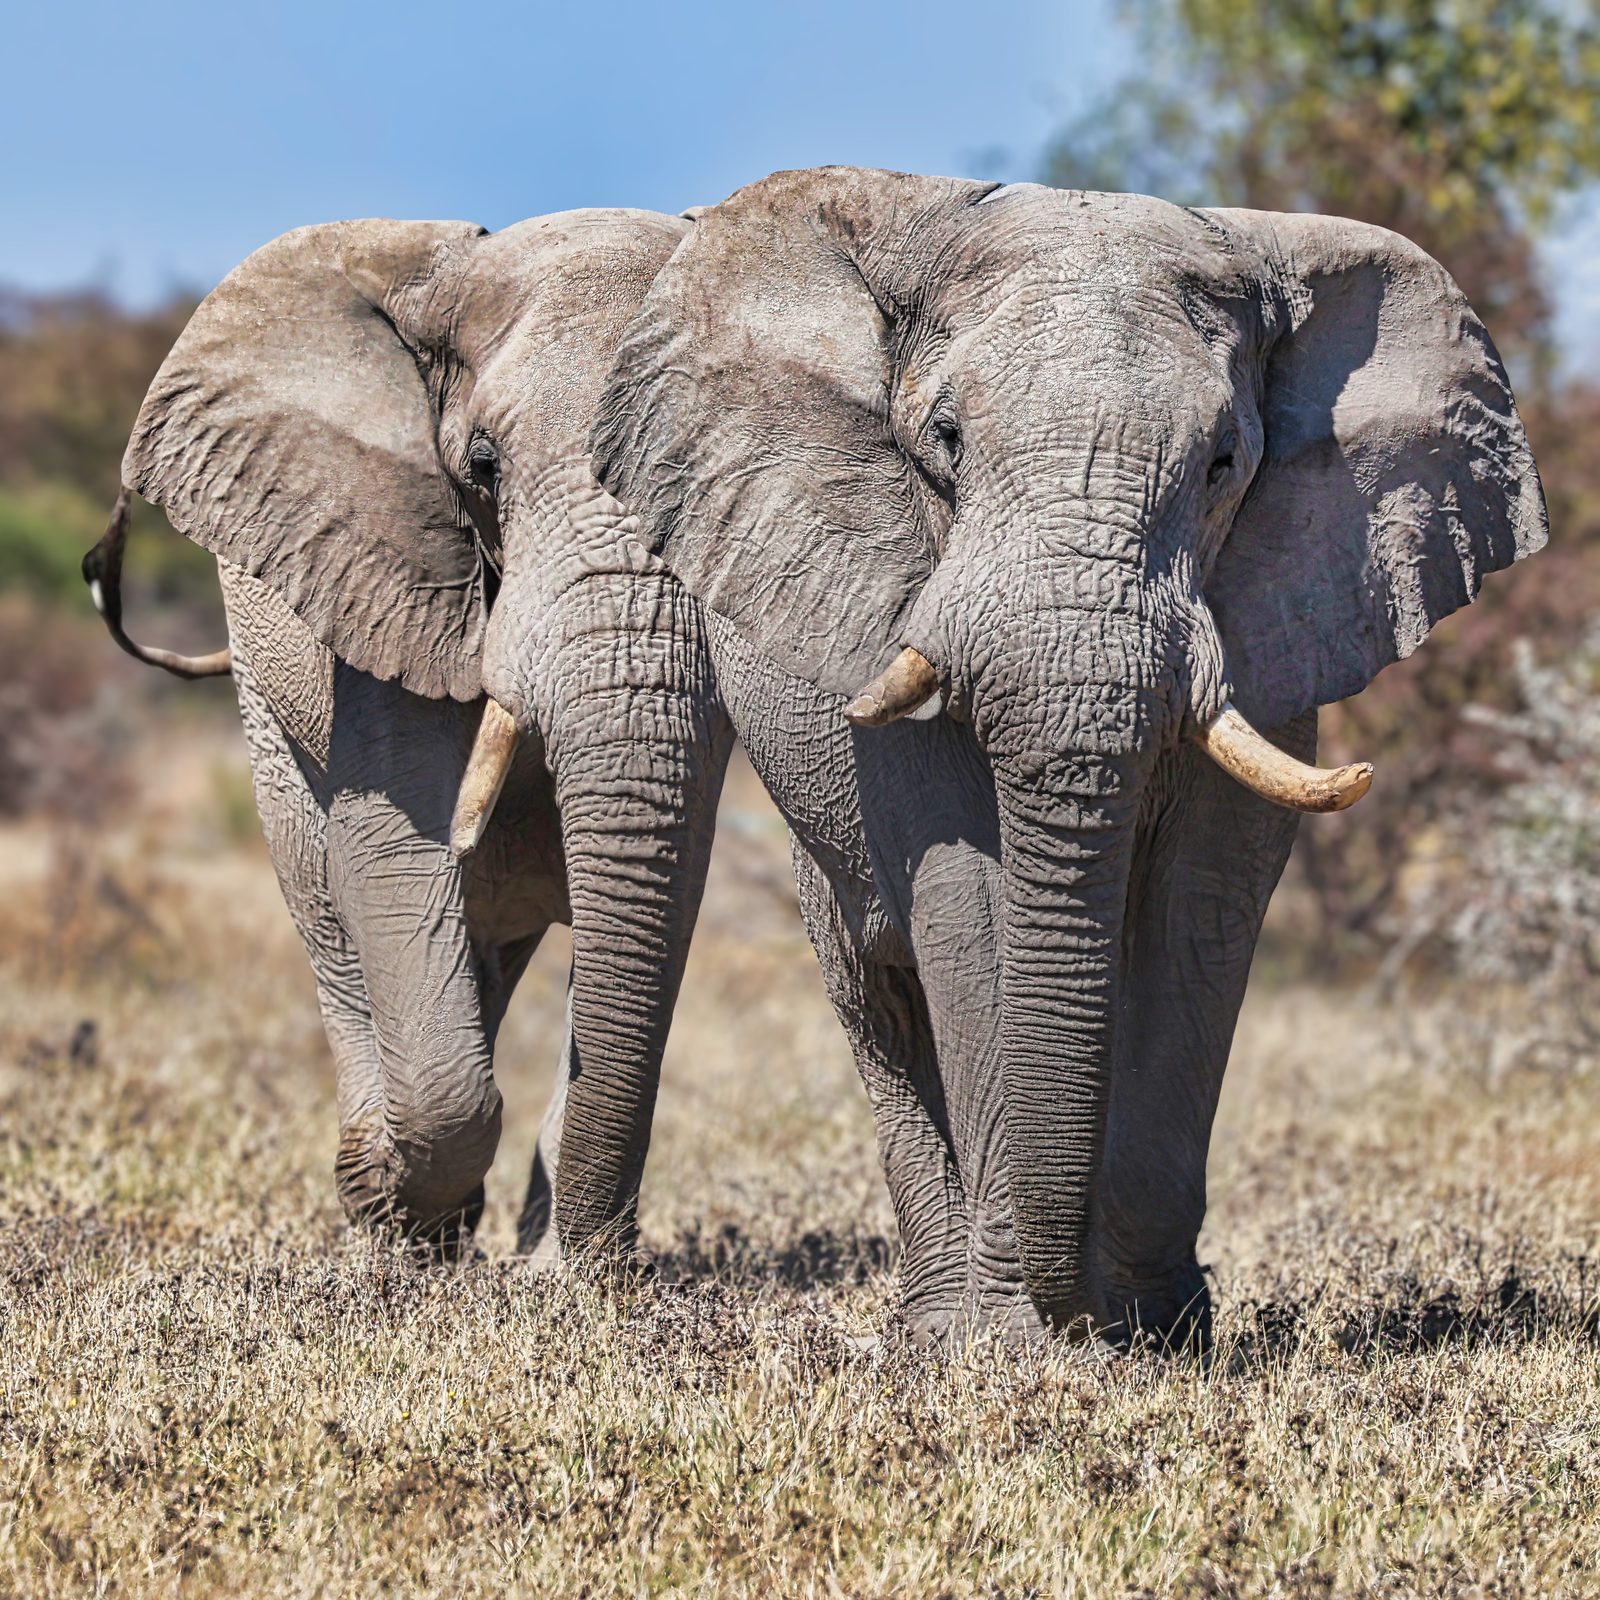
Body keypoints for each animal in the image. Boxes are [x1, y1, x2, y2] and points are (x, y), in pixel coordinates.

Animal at [83, 208, 734, 1255]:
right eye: (483, 467)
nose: (584, 1260)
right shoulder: (383, 568)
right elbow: (394, 852)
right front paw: (395, 1206)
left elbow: (669, 880)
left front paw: (556, 1268)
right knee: (327, 903)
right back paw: (384, 1201)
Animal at [569, 166, 1548, 1347]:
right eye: (944, 441)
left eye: (1224, 465)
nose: (1074, 1311)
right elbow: (968, 900)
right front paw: (1008, 1343)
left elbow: (1199, 909)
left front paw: (1158, 1333)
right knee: (876, 992)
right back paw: (932, 1328)